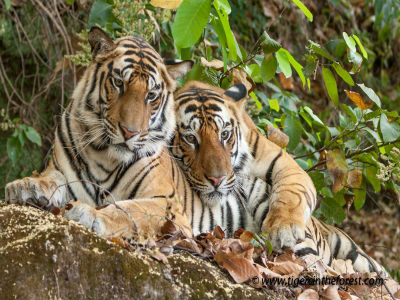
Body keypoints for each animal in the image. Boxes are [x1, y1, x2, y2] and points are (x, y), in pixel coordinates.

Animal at [171, 80, 388, 276]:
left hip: (352, 251)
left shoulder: (286, 164)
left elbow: (292, 193)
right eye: (190, 138)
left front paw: (285, 229)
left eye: (224, 134)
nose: (217, 180)